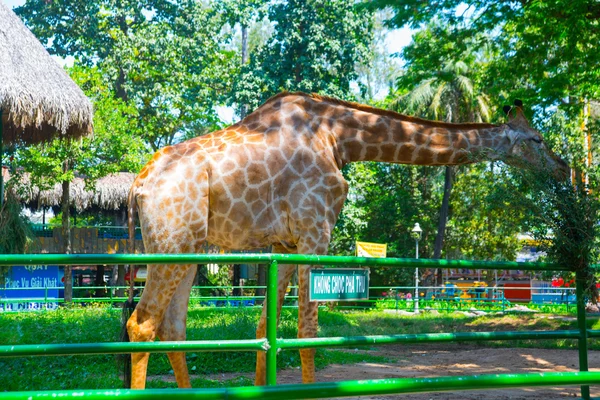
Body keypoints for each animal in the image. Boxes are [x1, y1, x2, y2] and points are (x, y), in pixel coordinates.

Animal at [125, 91, 568, 388]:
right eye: (538, 139)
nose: (564, 169)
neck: (340, 136)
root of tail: (138, 185)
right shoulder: (314, 232)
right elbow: (307, 332)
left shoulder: (283, 244)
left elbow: (266, 327)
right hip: (172, 240)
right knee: (141, 323)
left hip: (189, 247)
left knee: (173, 327)